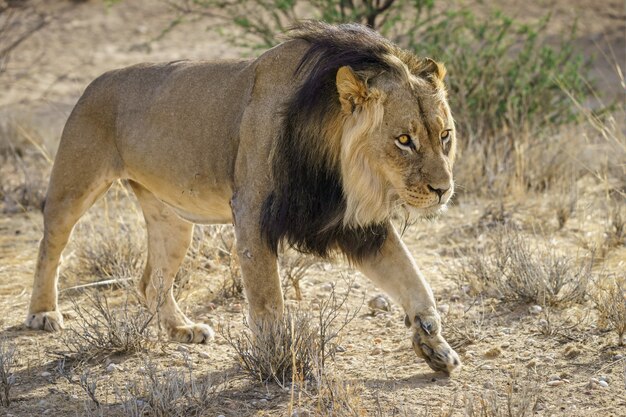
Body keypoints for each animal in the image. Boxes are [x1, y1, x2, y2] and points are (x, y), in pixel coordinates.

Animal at [25, 21, 458, 374]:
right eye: (404, 140)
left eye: (445, 136)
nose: (443, 190)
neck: (337, 167)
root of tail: (95, 81)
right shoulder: (251, 212)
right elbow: (268, 303)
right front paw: (280, 360)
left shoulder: (353, 224)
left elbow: (413, 279)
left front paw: (434, 343)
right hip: (74, 184)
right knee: (51, 246)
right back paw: (43, 313)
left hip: (171, 219)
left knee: (152, 281)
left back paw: (182, 329)